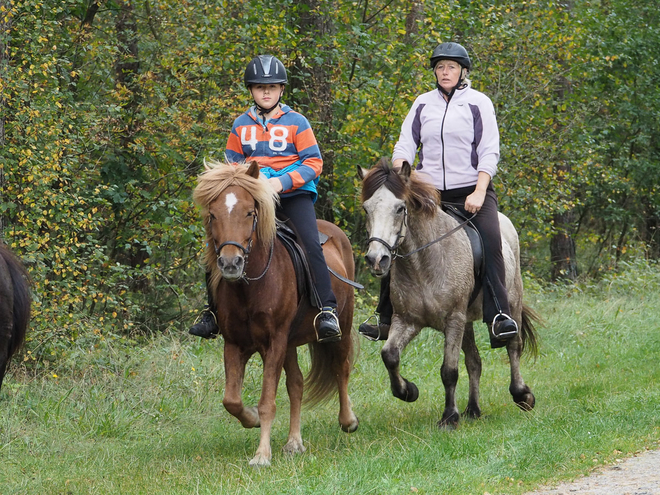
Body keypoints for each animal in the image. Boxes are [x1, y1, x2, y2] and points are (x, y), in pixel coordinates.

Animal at [193, 161, 358, 466]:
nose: (231, 263)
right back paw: (294, 442)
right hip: (290, 343)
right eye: (212, 214)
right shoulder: (236, 343)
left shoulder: (275, 341)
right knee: (297, 383)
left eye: (249, 212)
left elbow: (267, 400)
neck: (250, 287)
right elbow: (231, 400)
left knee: (340, 368)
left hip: (341, 323)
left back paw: (348, 420)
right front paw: (252, 419)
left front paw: (261, 455)